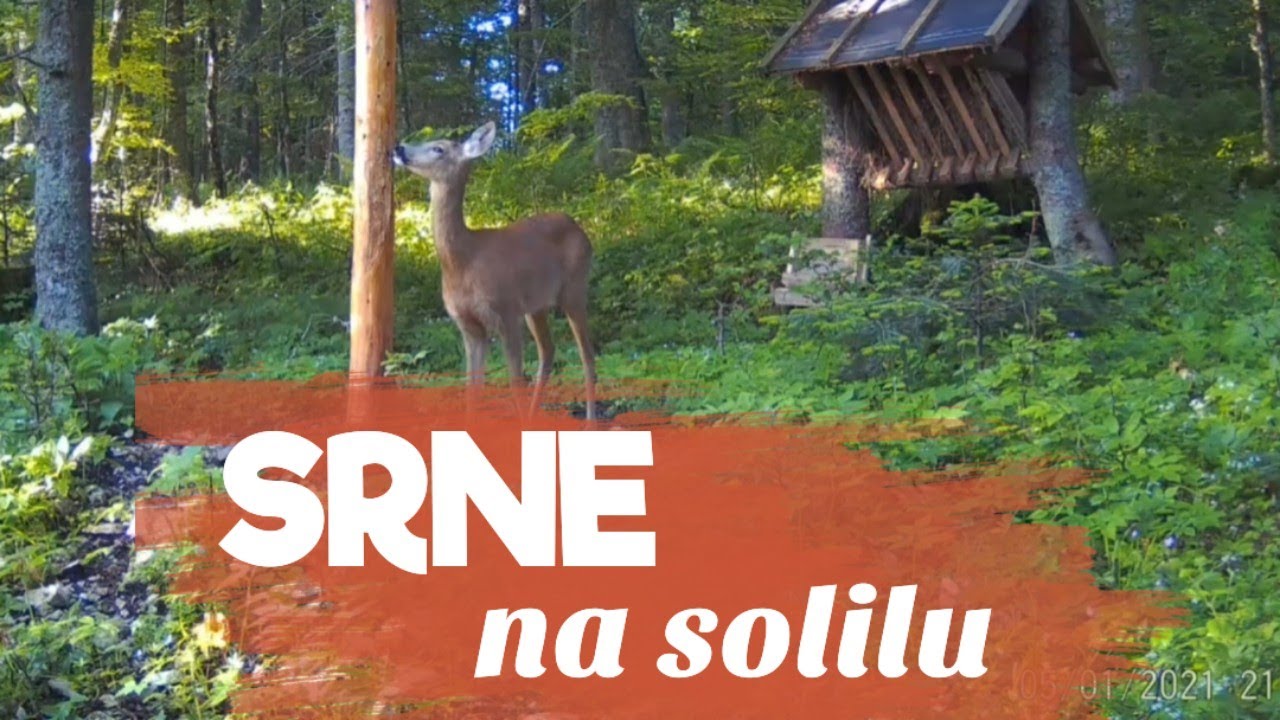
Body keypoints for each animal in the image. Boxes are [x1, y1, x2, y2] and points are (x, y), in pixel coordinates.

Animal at [392, 122, 597, 420]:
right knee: (548, 351)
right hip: (536, 306)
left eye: (438, 148)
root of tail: (580, 229)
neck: (463, 261)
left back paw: (590, 421)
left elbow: (514, 384)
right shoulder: (469, 325)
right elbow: (472, 389)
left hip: (574, 289)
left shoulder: (506, 312)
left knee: (587, 354)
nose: (399, 148)